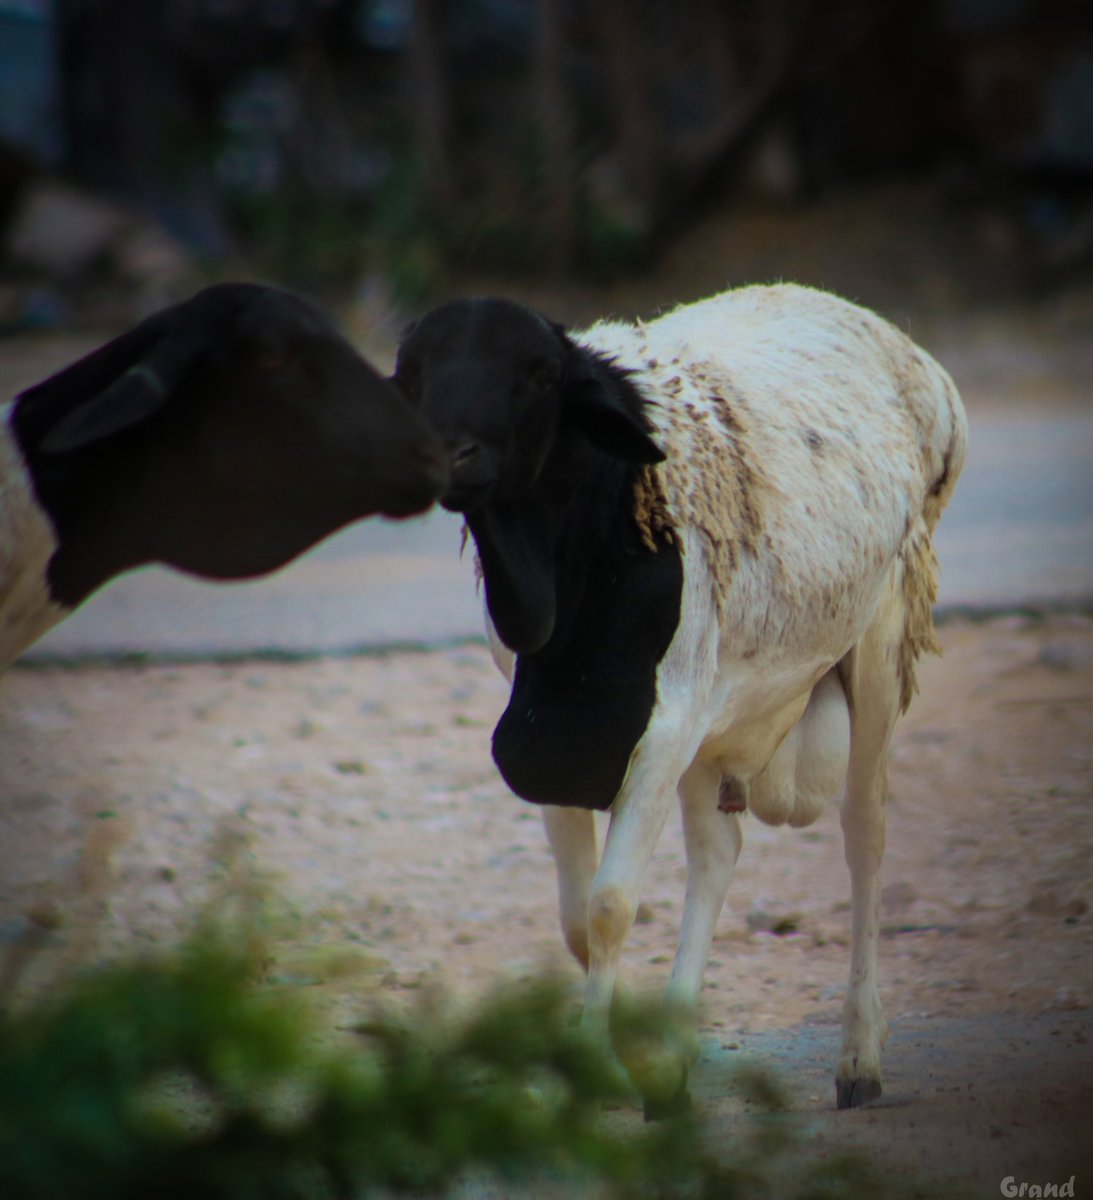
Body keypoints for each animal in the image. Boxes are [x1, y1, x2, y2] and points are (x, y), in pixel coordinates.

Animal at [392, 282, 968, 1115]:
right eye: (413, 375)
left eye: (538, 375)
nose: (451, 455)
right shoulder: (546, 736)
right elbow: (577, 918)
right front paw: (621, 1056)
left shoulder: (662, 730)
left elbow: (609, 907)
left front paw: (596, 1065)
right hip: (719, 711)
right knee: (718, 852)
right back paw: (672, 1055)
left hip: (879, 640)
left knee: (864, 835)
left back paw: (859, 1055)